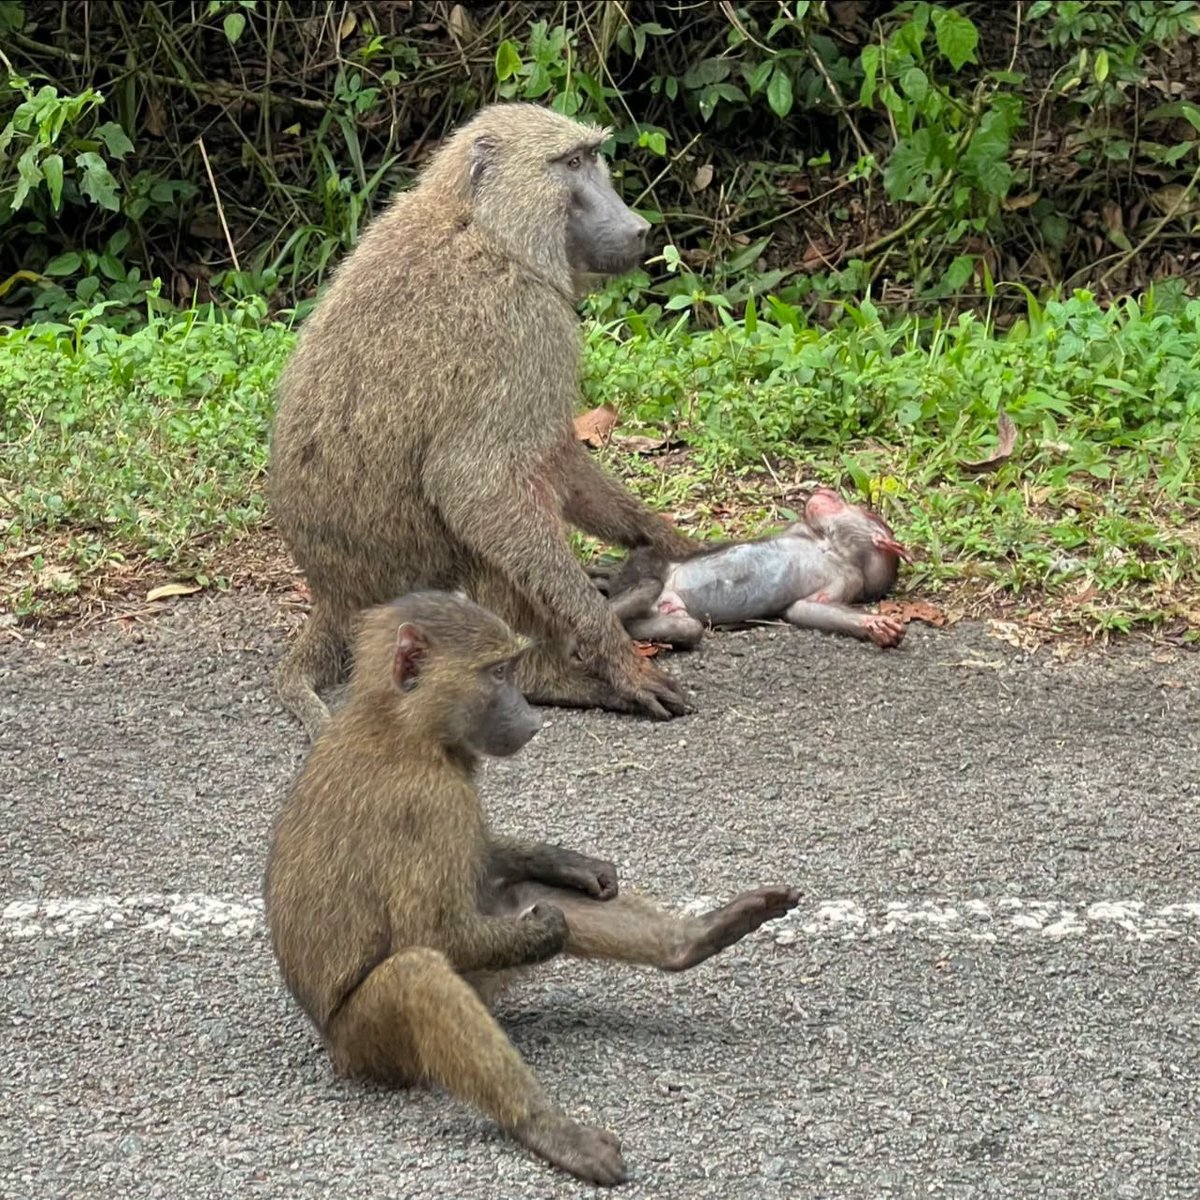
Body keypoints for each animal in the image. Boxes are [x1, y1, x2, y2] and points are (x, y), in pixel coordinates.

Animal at [263, 590, 802, 1187]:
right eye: (497, 673)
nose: (532, 716)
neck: (402, 723)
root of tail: (331, 1047)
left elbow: (502, 866)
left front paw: (569, 863)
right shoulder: (429, 802)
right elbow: (429, 932)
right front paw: (549, 928)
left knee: (513, 901)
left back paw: (694, 938)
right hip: (368, 1044)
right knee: (419, 975)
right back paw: (547, 1128)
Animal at [266, 102, 700, 742]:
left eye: (591, 157)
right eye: (571, 164)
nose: (638, 226)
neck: (484, 227)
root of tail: (336, 596)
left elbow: (556, 455)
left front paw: (669, 544)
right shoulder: (526, 323)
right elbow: (475, 484)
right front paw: (618, 660)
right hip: (413, 586)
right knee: (486, 533)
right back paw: (553, 676)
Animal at [597, 487, 913, 650]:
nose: (828, 492)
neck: (834, 549)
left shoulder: (849, 580)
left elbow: (803, 609)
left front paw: (872, 625)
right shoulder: (802, 531)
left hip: (668, 609)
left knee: (687, 627)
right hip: (645, 568)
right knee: (649, 581)